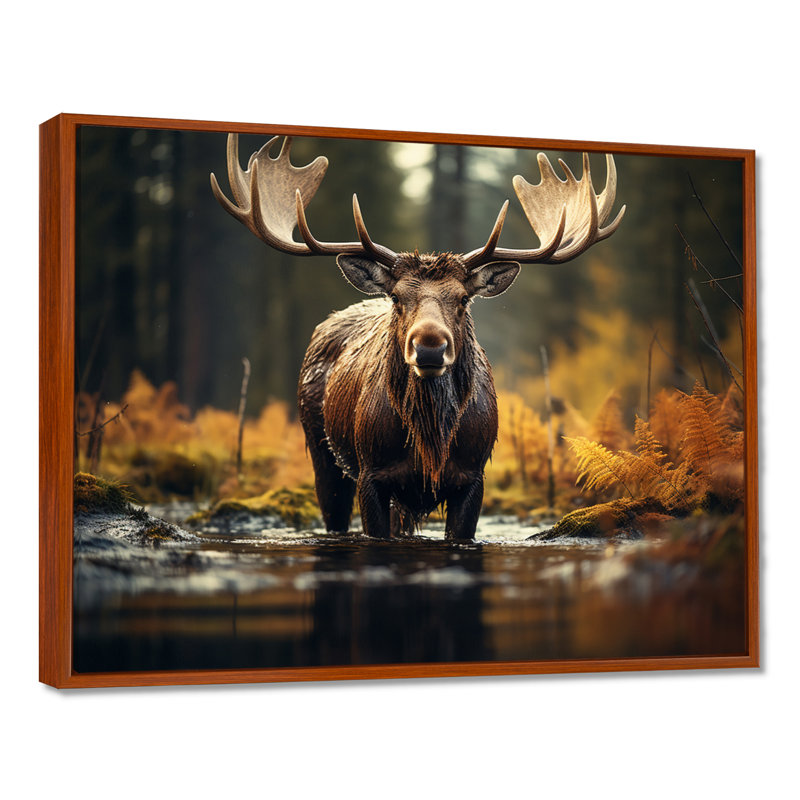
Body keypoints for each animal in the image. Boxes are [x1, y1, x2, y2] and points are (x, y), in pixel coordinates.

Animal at [211, 134, 625, 540]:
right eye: (396, 296)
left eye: (462, 298)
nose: (429, 347)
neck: (430, 445)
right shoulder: (372, 474)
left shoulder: (473, 477)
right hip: (321, 450)